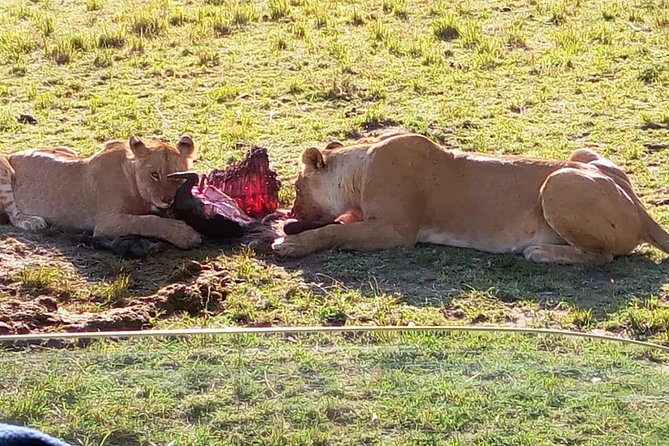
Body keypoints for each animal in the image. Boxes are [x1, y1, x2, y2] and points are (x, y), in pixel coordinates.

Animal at [0, 135, 202, 249]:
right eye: (154, 174)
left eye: (177, 176)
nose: (168, 199)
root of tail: (13, 153)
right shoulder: (106, 223)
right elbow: (147, 221)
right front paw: (185, 234)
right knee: (13, 215)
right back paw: (32, 222)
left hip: (66, 149)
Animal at [272, 131, 669, 263]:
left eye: (297, 188)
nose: (290, 211)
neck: (360, 167)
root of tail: (640, 209)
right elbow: (339, 224)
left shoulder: (396, 232)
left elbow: (334, 231)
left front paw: (289, 243)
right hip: (583, 155)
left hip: (558, 183)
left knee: (603, 257)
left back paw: (541, 252)